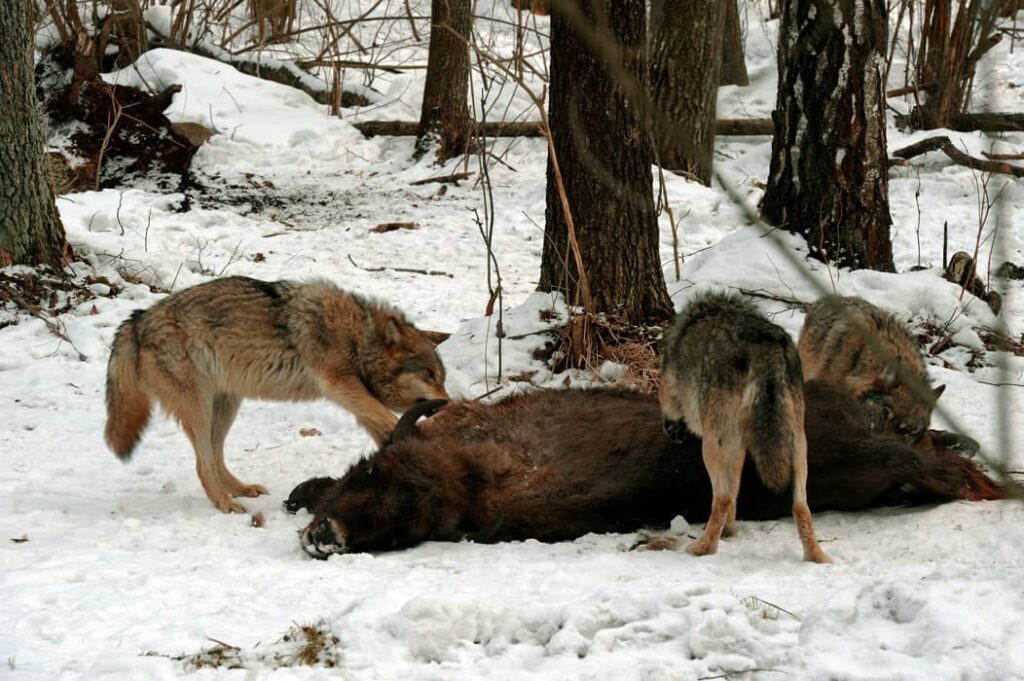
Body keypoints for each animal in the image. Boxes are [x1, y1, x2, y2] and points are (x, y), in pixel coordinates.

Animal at [104, 276, 449, 513]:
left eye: (441, 378)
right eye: (430, 375)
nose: (446, 401)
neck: (359, 336)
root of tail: (137, 319)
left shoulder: (354, 400)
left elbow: (383, 424)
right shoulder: (339, 384)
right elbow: (389, 417)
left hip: (225, 407)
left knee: (215, 457)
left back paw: (240, 489)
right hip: (199, 409)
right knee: (203, 464)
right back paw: (226, 504)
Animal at [659, 292, 830, 563]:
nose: (670, 431)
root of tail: (767, 345)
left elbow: (728, 495)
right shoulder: (738, 444)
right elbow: (735, 487)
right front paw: (728, 531)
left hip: (711, 444)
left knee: (721, 497)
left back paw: (702, 548)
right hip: (797, 445)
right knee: (801, 507)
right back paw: (817, 558)